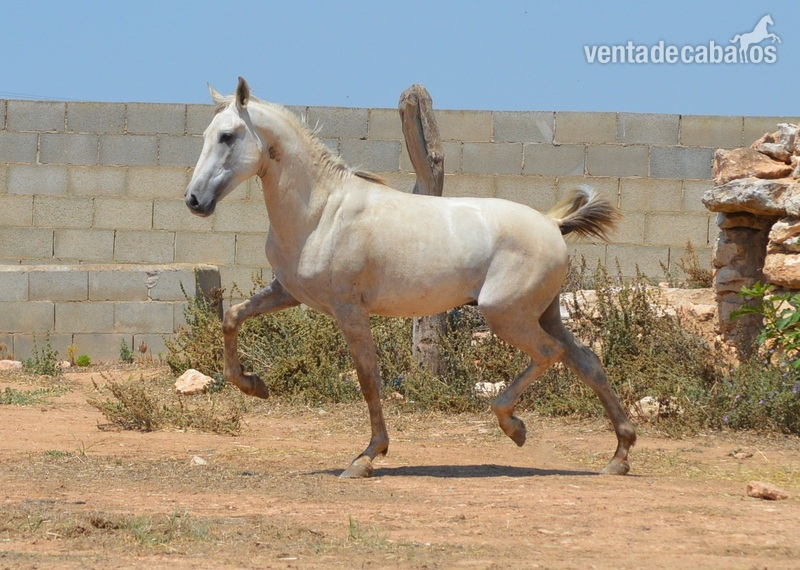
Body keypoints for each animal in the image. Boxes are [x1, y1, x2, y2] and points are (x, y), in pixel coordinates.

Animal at [185, 77, 636, 478]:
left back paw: (515, 427)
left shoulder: (349, 310)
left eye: (227, 136)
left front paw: (366, 458)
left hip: (505, 315)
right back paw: (619, 455)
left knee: (549, 354)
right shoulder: (288, 293)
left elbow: (368, 378)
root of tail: (551, 224)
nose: (194, 200)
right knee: (587, 361)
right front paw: (253, 385)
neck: (321, 212)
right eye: (206, 134)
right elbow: (232, 318)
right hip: (543, 313)